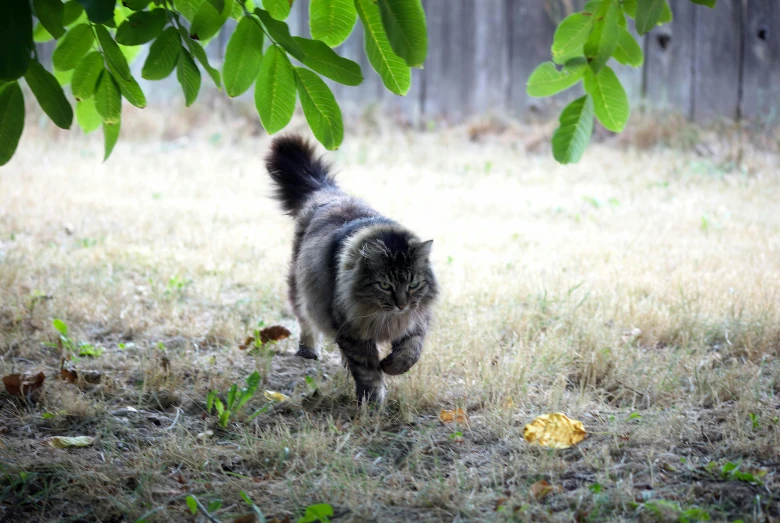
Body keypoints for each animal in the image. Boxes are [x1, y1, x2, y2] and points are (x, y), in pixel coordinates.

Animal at [266, 135, 438, 406]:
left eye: (413, 284)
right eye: (385, 285)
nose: (401, 304)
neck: (385, 318)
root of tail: (330, 194)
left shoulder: (417, 319)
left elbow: (410, 352)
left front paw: (391, 366)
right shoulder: (352, 332)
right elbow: (367, 371)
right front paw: (373, 401)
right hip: (300, 290)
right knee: (305, 320)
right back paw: (308, 350)